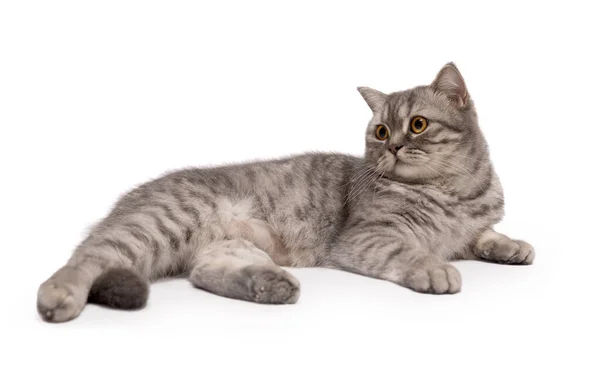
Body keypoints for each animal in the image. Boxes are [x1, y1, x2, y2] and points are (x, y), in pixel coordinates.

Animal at [36, 62, 536, 322]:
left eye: (416, 125)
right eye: (379, 131)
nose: (392, 146)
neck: (454, 192)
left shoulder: (471, 226)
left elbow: (486, 234)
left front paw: (513, 246)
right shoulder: (368, 236)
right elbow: (411, 252)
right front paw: (434, 269)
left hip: (229, 245)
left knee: (203, 273)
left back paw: (269, 285)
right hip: (157, 226)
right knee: (85, 260)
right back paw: (58, 295)